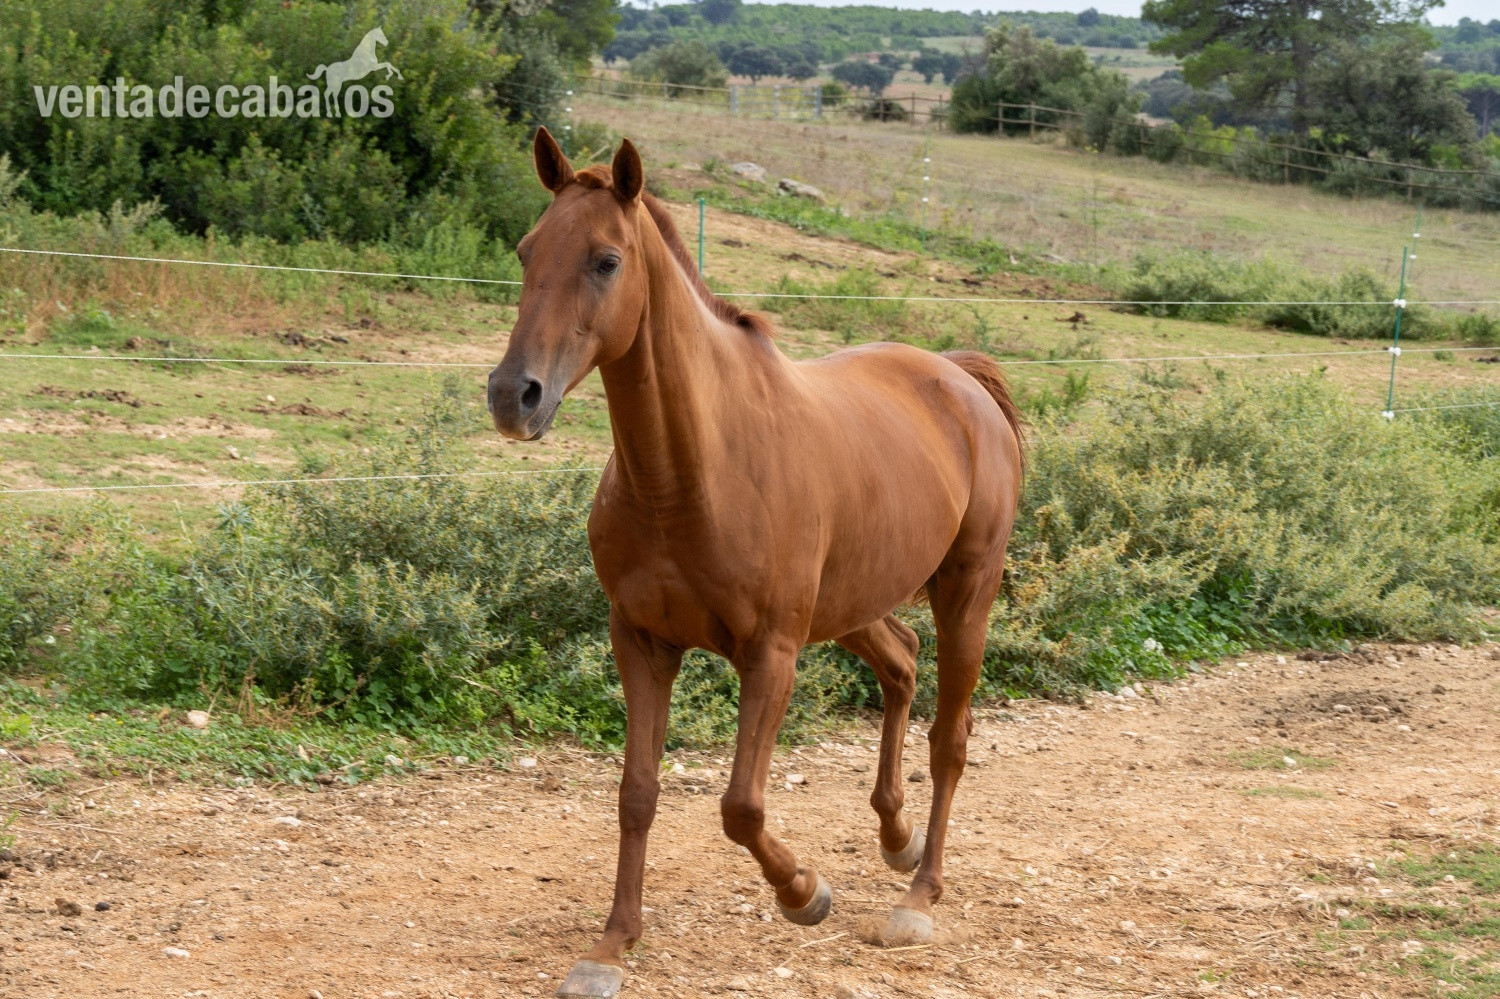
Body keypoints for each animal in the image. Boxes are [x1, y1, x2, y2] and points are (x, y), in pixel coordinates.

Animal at [488, 128, 1025, 998]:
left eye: (606, 260)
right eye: (526, 249)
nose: (514, 395)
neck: (690, 472)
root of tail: (959, 377)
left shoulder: (770, 652)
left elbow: (740, 805)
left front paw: (804, 891)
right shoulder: (642, 641)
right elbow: (636, 792)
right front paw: (612, 944)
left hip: (965, 592)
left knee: (951, 735)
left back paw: (918, 896)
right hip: (852, 604)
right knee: (902, 662)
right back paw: (897, 836)